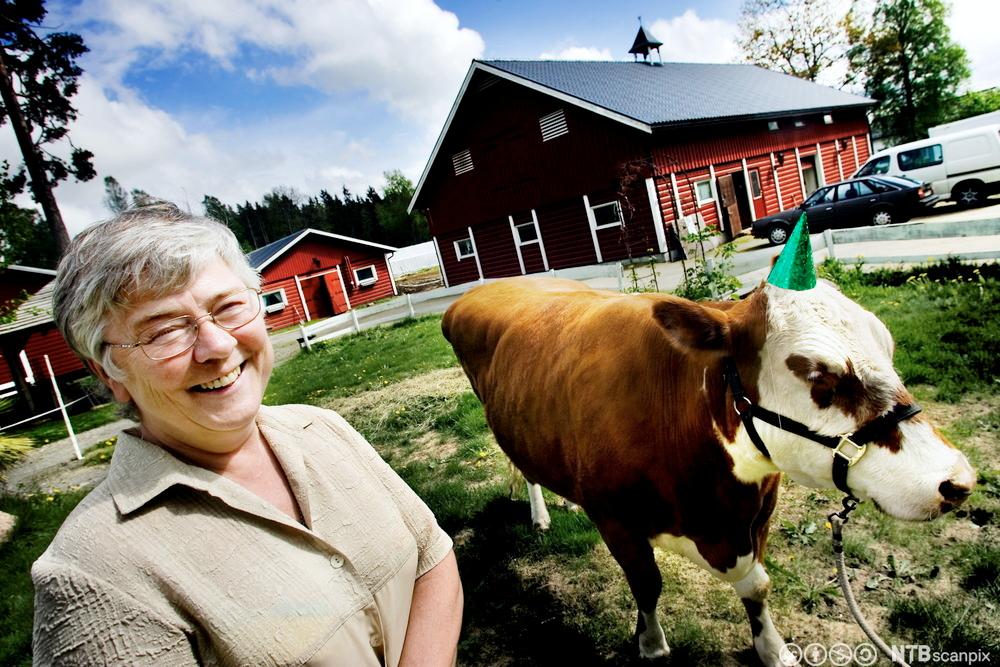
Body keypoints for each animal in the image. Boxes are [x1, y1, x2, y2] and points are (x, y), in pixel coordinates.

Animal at [446, 276, 976, 667]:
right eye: (820, 379)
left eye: (889, 348)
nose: (958, 482)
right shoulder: (616, 519)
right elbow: (647, 584)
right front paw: (651, 644)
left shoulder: (757, 514)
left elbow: (758, 586)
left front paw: (772, 649)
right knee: (523, 467)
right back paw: (540, 514)